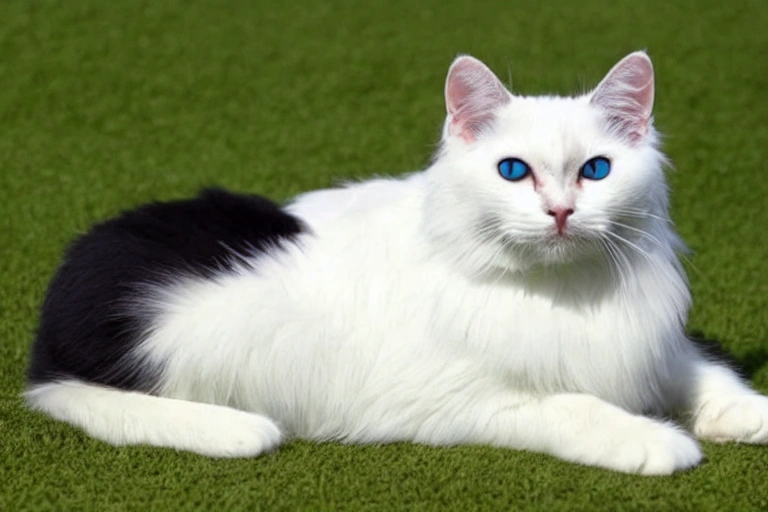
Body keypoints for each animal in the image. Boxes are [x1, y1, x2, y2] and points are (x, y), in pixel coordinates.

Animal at [24, 50, 768, 474]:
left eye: (596, 170)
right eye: (513, 171)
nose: (560, 212)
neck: (562, 288)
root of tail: (45, 345)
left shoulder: (649, 340)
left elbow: (703, 369)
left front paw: (745, 412)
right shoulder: (465, 399)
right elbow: (575, 405)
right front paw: (653, 439)